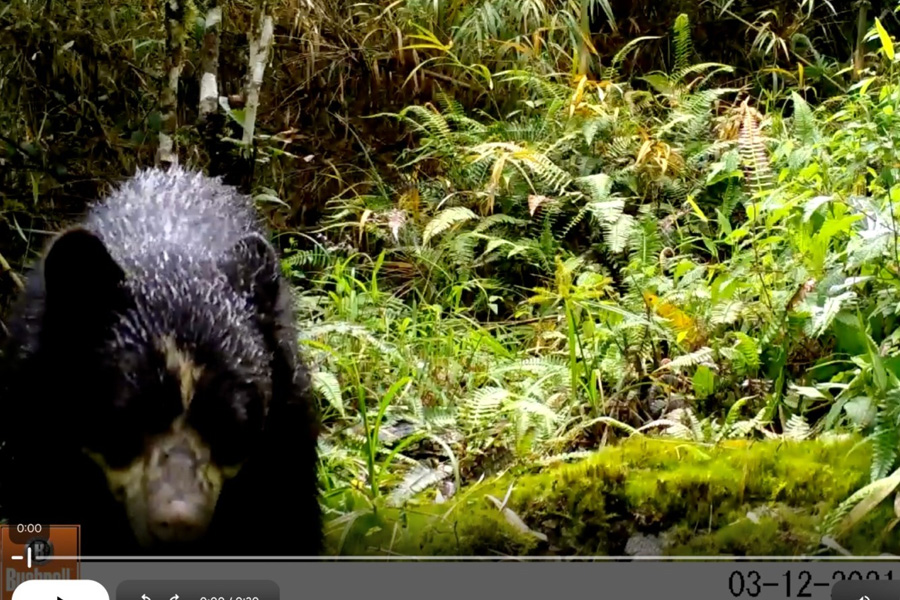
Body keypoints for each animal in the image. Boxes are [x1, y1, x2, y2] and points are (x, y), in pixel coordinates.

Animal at [0, 165, 322, 557]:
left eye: (232, 426)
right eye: (124, 419)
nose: (178, 524)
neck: (168, 262)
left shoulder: (286, 427)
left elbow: (288, 517)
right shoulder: (33, 416)